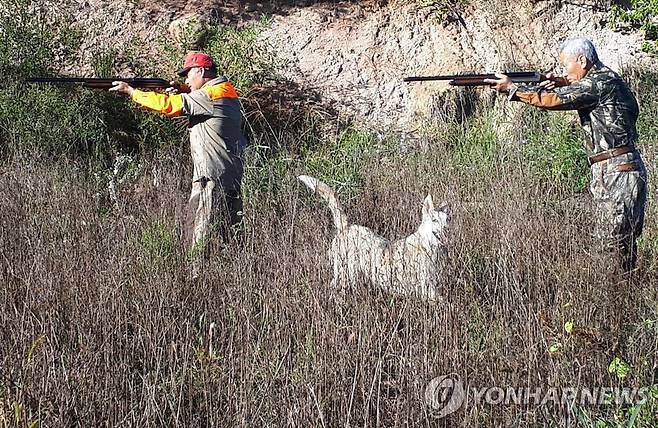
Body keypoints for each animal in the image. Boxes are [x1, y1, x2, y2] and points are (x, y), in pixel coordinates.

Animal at [296, 176, 446, 300]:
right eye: (434, 220)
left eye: (446, 220)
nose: (445, 230)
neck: (426, 245)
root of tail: (346, 227)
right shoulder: (426, 289)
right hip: (344, 275)